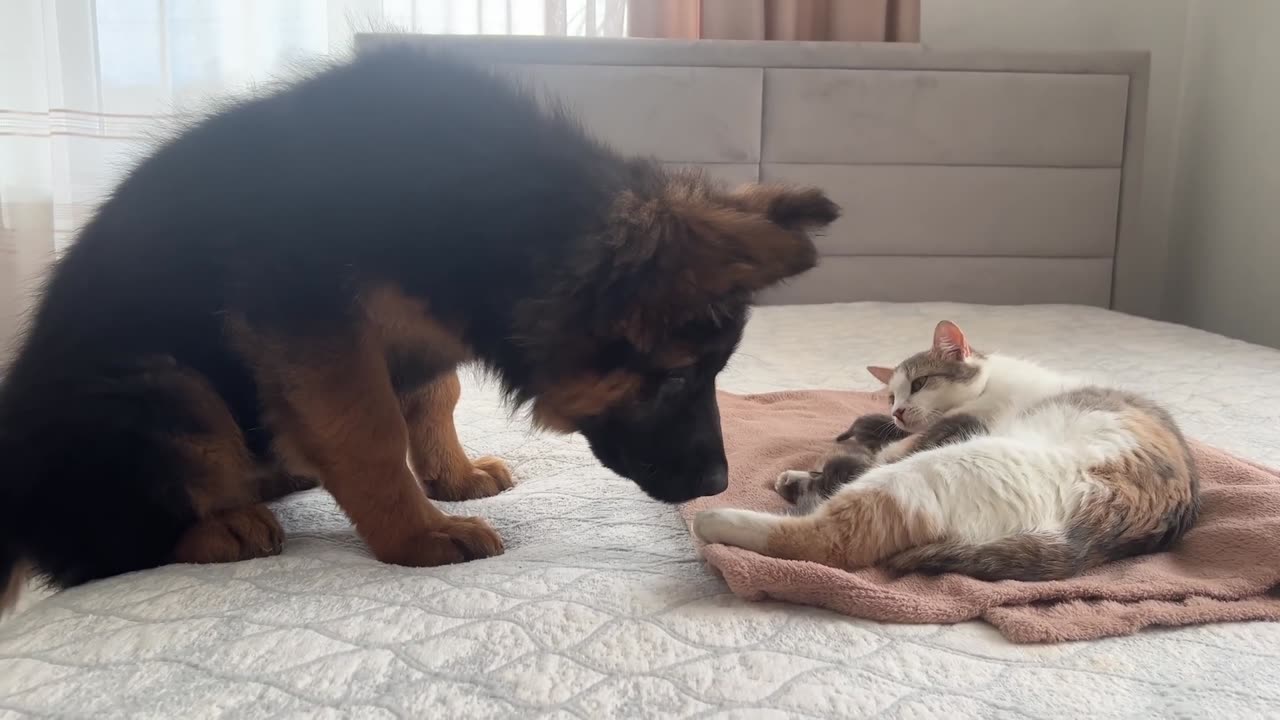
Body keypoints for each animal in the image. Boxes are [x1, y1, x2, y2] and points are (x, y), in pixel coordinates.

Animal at [0, 44, 839, 604]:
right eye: (675, 377)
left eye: (714, 373)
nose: (719, 483)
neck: (497, 213)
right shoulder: (310, 322)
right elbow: (368, 432)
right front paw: (415, 532)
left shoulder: (421, 332)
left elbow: (434, 398)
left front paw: (452, 476)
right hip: (167, 393)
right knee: (98, 550)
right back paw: (218, 527)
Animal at [691, 319, 1198, 576]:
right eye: (890, 396)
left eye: (918, 384)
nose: (897, 412)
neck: (990, 381)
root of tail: (1093, 539)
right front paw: (808, 473)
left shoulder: (954, 426)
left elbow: (881, 455)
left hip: (940, 469)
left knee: (825, 542)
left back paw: (713, 519)